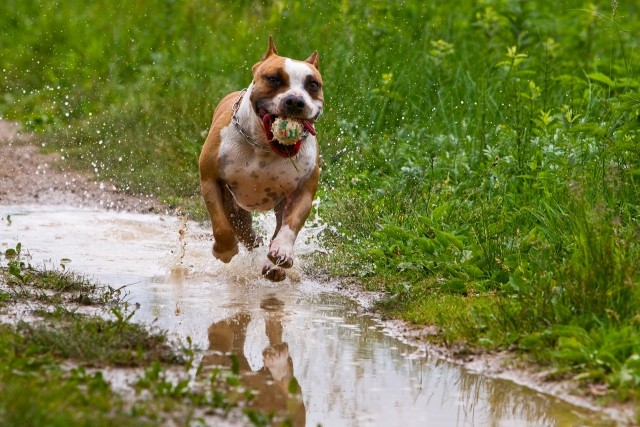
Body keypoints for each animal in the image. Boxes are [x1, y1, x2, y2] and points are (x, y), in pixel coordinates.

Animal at [198, 38, 322, 282]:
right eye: (273, 78)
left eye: (313, 85)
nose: (295, 101)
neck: (265, 147)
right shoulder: (210, 179)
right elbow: (220, 226)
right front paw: (225, 250)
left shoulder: (303, 191)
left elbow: (290, 224)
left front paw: (282, 253)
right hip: (233, 206)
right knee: (242, 230)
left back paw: (274, 266)